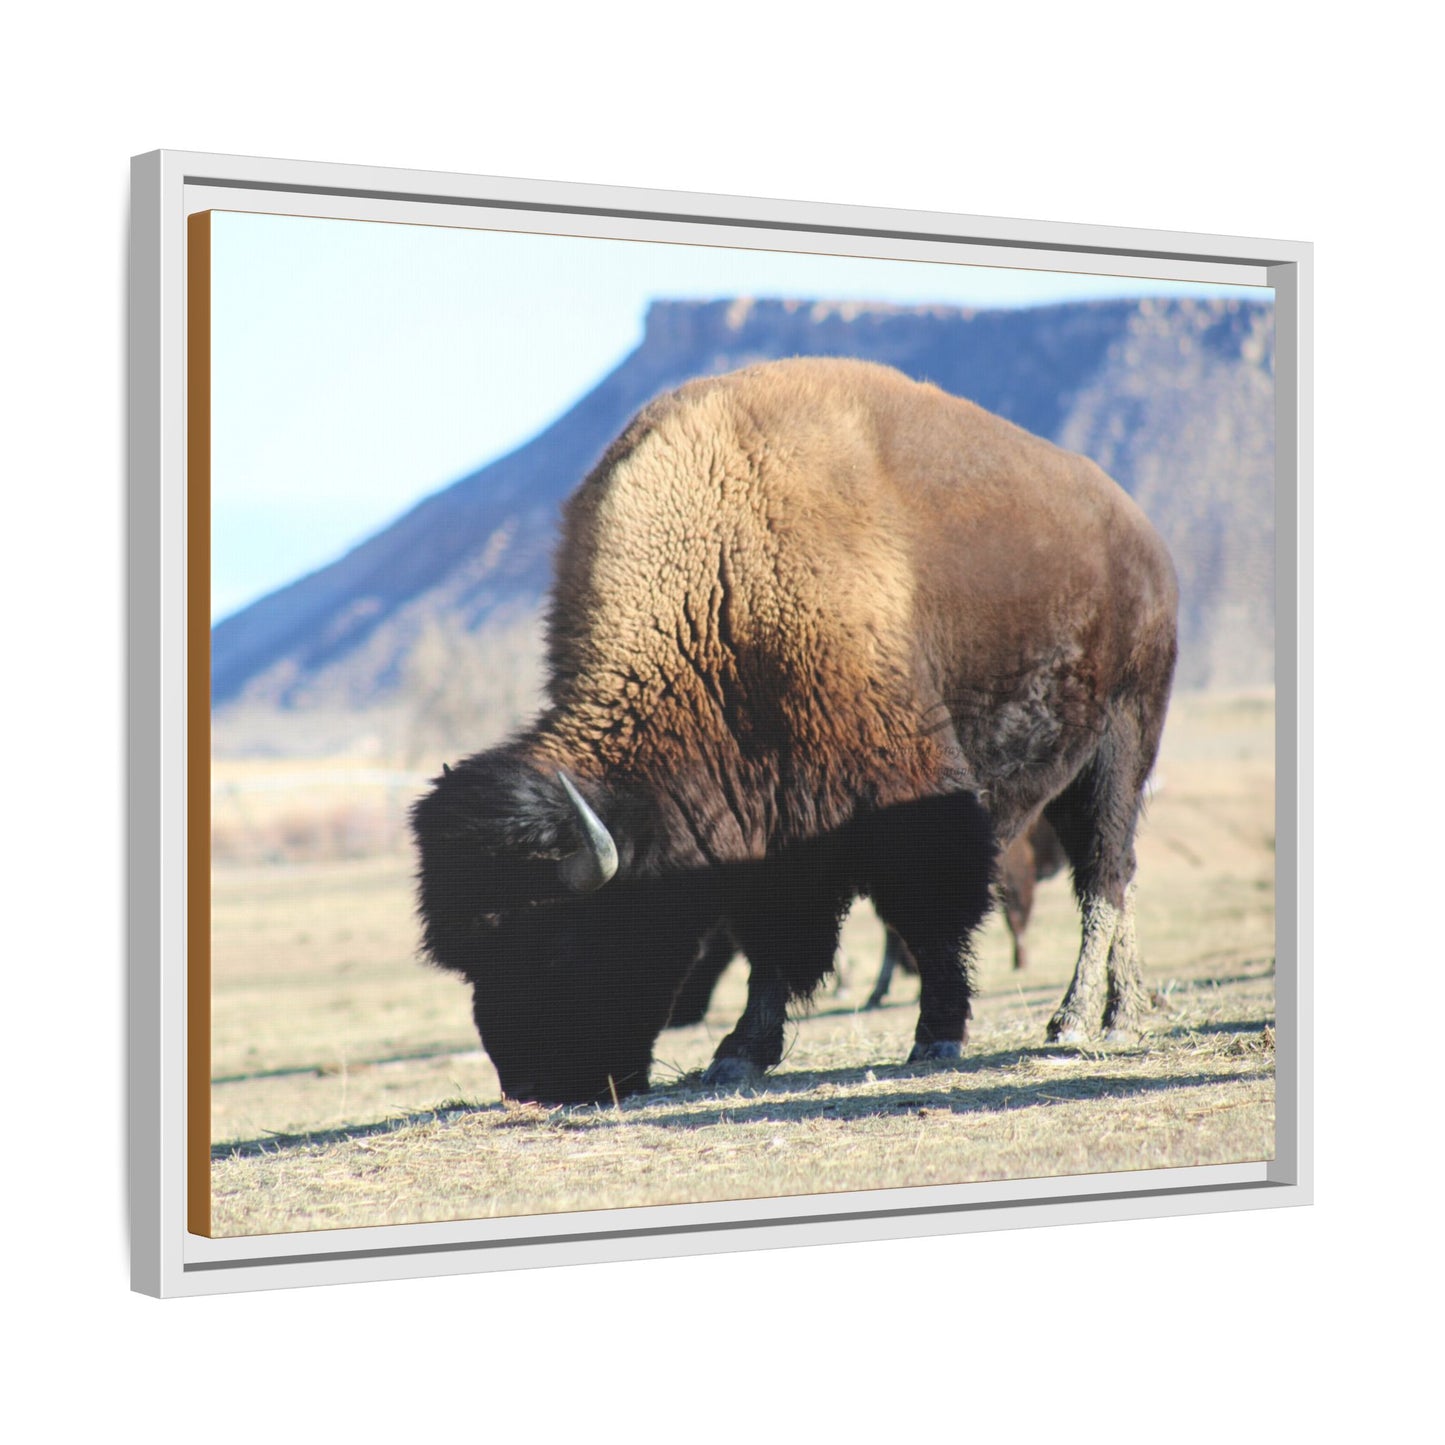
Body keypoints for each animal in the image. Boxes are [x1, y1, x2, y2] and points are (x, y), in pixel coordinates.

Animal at [412, 357, 1178, 1103]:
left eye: (557, 939)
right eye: (468, 958)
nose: (531, 1087)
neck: (719, 589)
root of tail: (1142, 536)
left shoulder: (906, 794)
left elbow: (927, 915)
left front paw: (936, 1035)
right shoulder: (769, 827)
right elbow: (774, 943)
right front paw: (739, 1053)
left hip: (1120, 746)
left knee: (1103, 876)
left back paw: (1080, 1019)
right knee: (1119, 876)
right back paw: (1123, 1008)